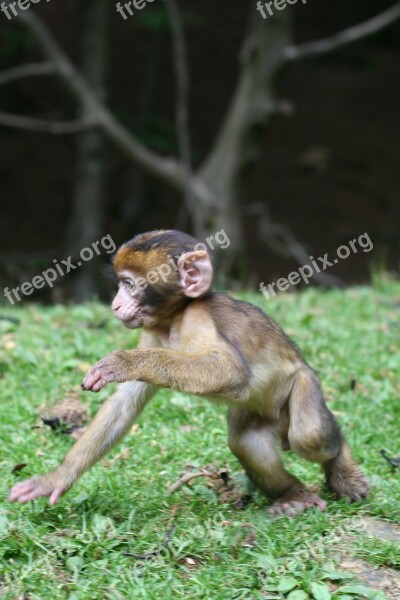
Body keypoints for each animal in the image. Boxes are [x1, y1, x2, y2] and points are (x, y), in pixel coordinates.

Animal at [9, 230, 370, 516]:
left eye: (128, 284)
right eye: (119, 284)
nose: (114, 304)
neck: (174, 319)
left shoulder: (199, 319)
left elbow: (231, 372)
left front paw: (124, 363)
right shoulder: (151, 333)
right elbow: (125, 404)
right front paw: (54, 479)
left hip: (305, 383)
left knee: (309, 435)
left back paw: (341, 467)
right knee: (247, 442)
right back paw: (292, 495)